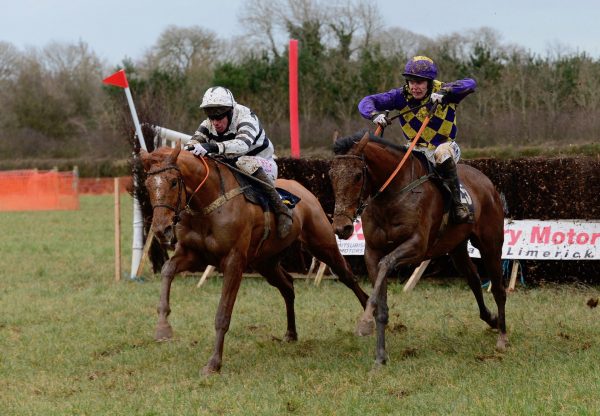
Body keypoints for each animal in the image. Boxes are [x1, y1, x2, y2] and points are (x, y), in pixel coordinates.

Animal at [139, 145, 370, 374]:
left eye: (173, 182)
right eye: (147, 185)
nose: (161, 229)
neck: (207, 203)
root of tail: (303, 189)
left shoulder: (233, 261)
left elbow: (222, 314)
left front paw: (214, 363)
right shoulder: (193, 254)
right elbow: (167, 269)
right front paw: (162, 328)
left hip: (323, 244)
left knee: (348, 276)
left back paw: (368, 318)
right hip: (265, 262)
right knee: (288, 286)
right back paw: (291, 333)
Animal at [328, 132, 506, 366]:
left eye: (358, 176)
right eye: (331, 175)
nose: (342, 227)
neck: (392, 195)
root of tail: (487, 182)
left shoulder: (417, 246)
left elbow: (386, 264)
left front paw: (365, 322)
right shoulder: (372, 252)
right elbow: (381, 298)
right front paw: (380, 355)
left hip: (490, 243)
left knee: (498, 288)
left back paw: (502, 337)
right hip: (456, 247)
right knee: (474, 279)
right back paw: (491, 319)